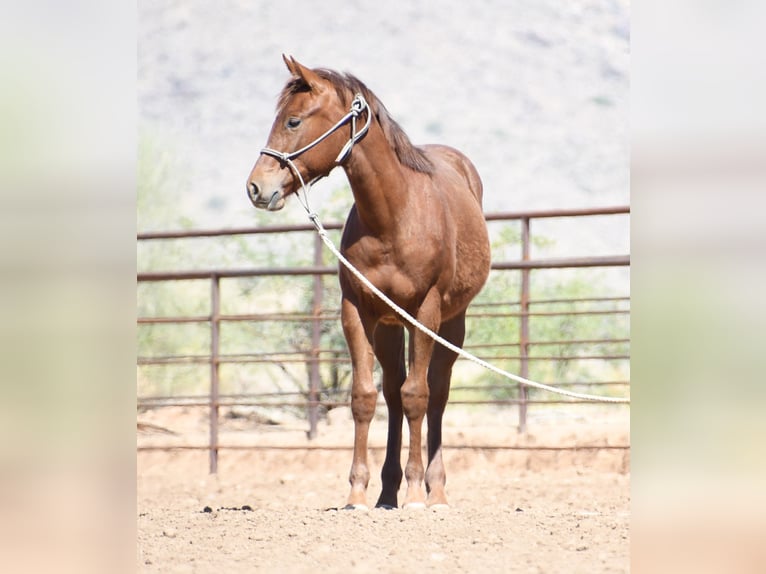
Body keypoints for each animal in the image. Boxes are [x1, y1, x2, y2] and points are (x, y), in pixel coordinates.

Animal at [246, 55, 490, 509]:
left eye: (293, 121)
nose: (256, 187)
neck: (395, 216)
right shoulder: (356, 310)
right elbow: (363, 397)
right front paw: (358, 492)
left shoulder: (426, 312)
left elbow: (418, 396)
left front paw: (416, 492)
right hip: (390, 328)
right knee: (392, 392)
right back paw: (386, 492)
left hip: (452, 322)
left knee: (436, 393)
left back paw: (435, 490)